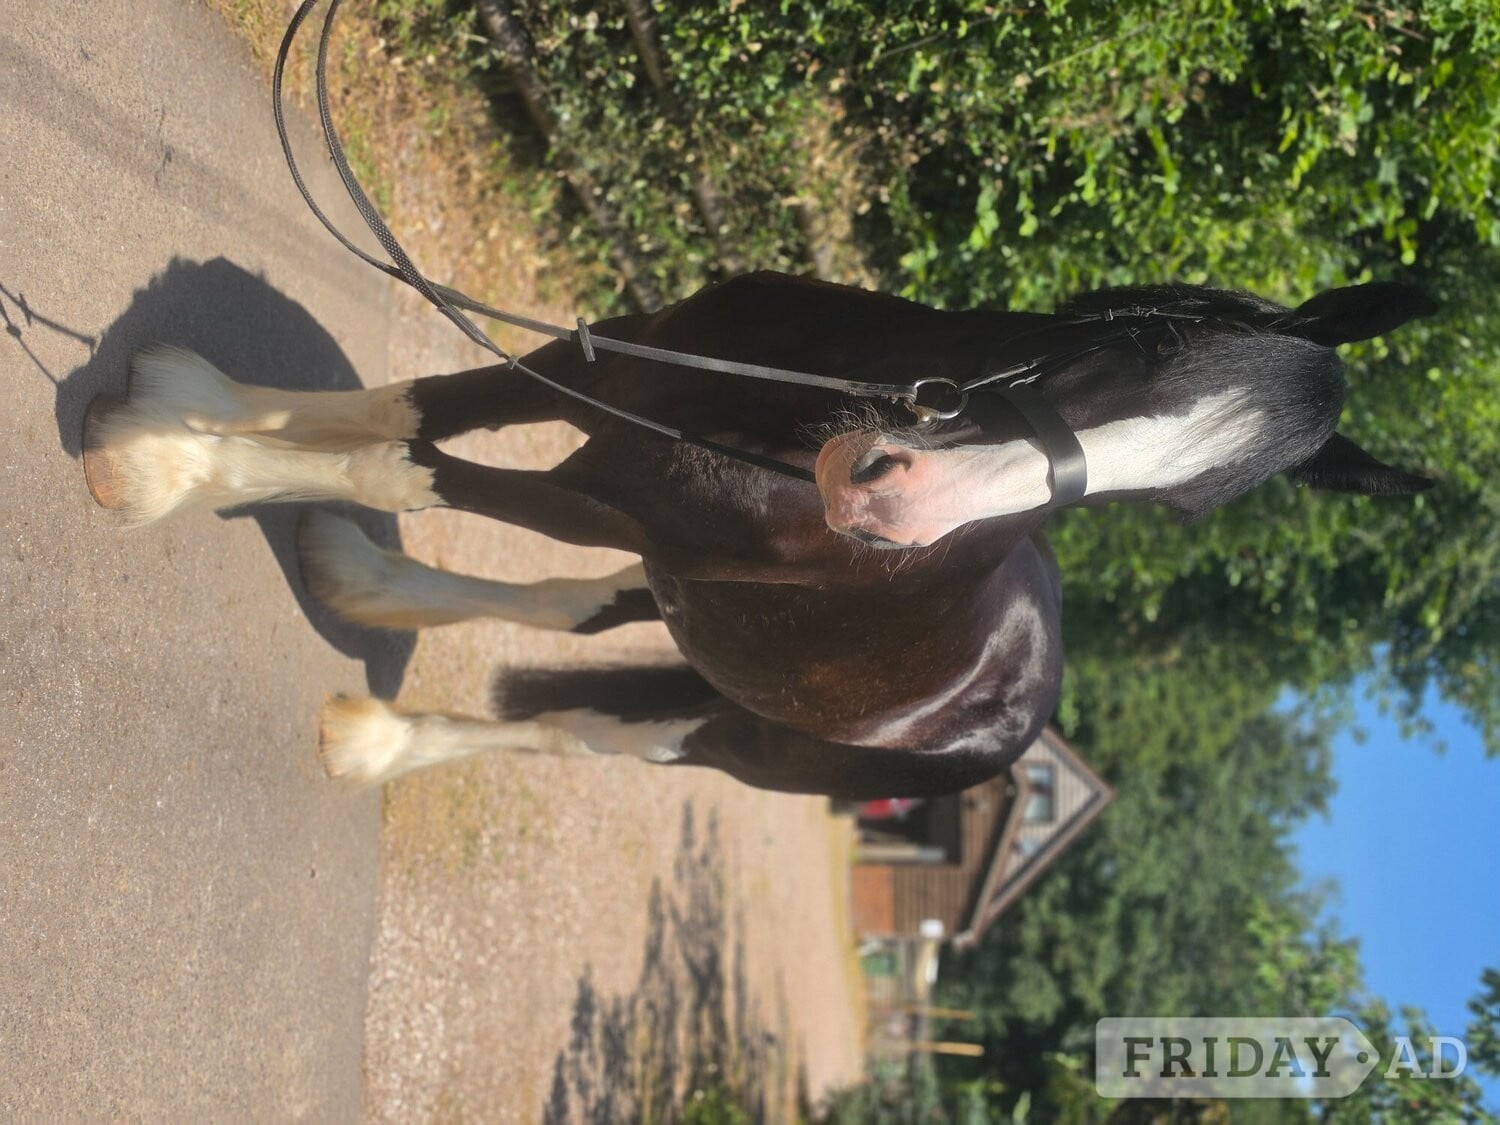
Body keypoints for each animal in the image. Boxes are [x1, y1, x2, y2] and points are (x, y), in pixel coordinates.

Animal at [81, 271, 1435, 797]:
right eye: (1148, 344)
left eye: (1176, 506)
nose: (891, 502)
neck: (787, 415)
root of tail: (1026, 713)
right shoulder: (611, 370)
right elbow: (414, 408)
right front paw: (186, 400)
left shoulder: (606, 496)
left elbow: (406, 462)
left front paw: (157, 465)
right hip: (693, 606)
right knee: (576, 611)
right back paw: (362, 591)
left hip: (733, 730)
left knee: (585, 731)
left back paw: (383, 741)